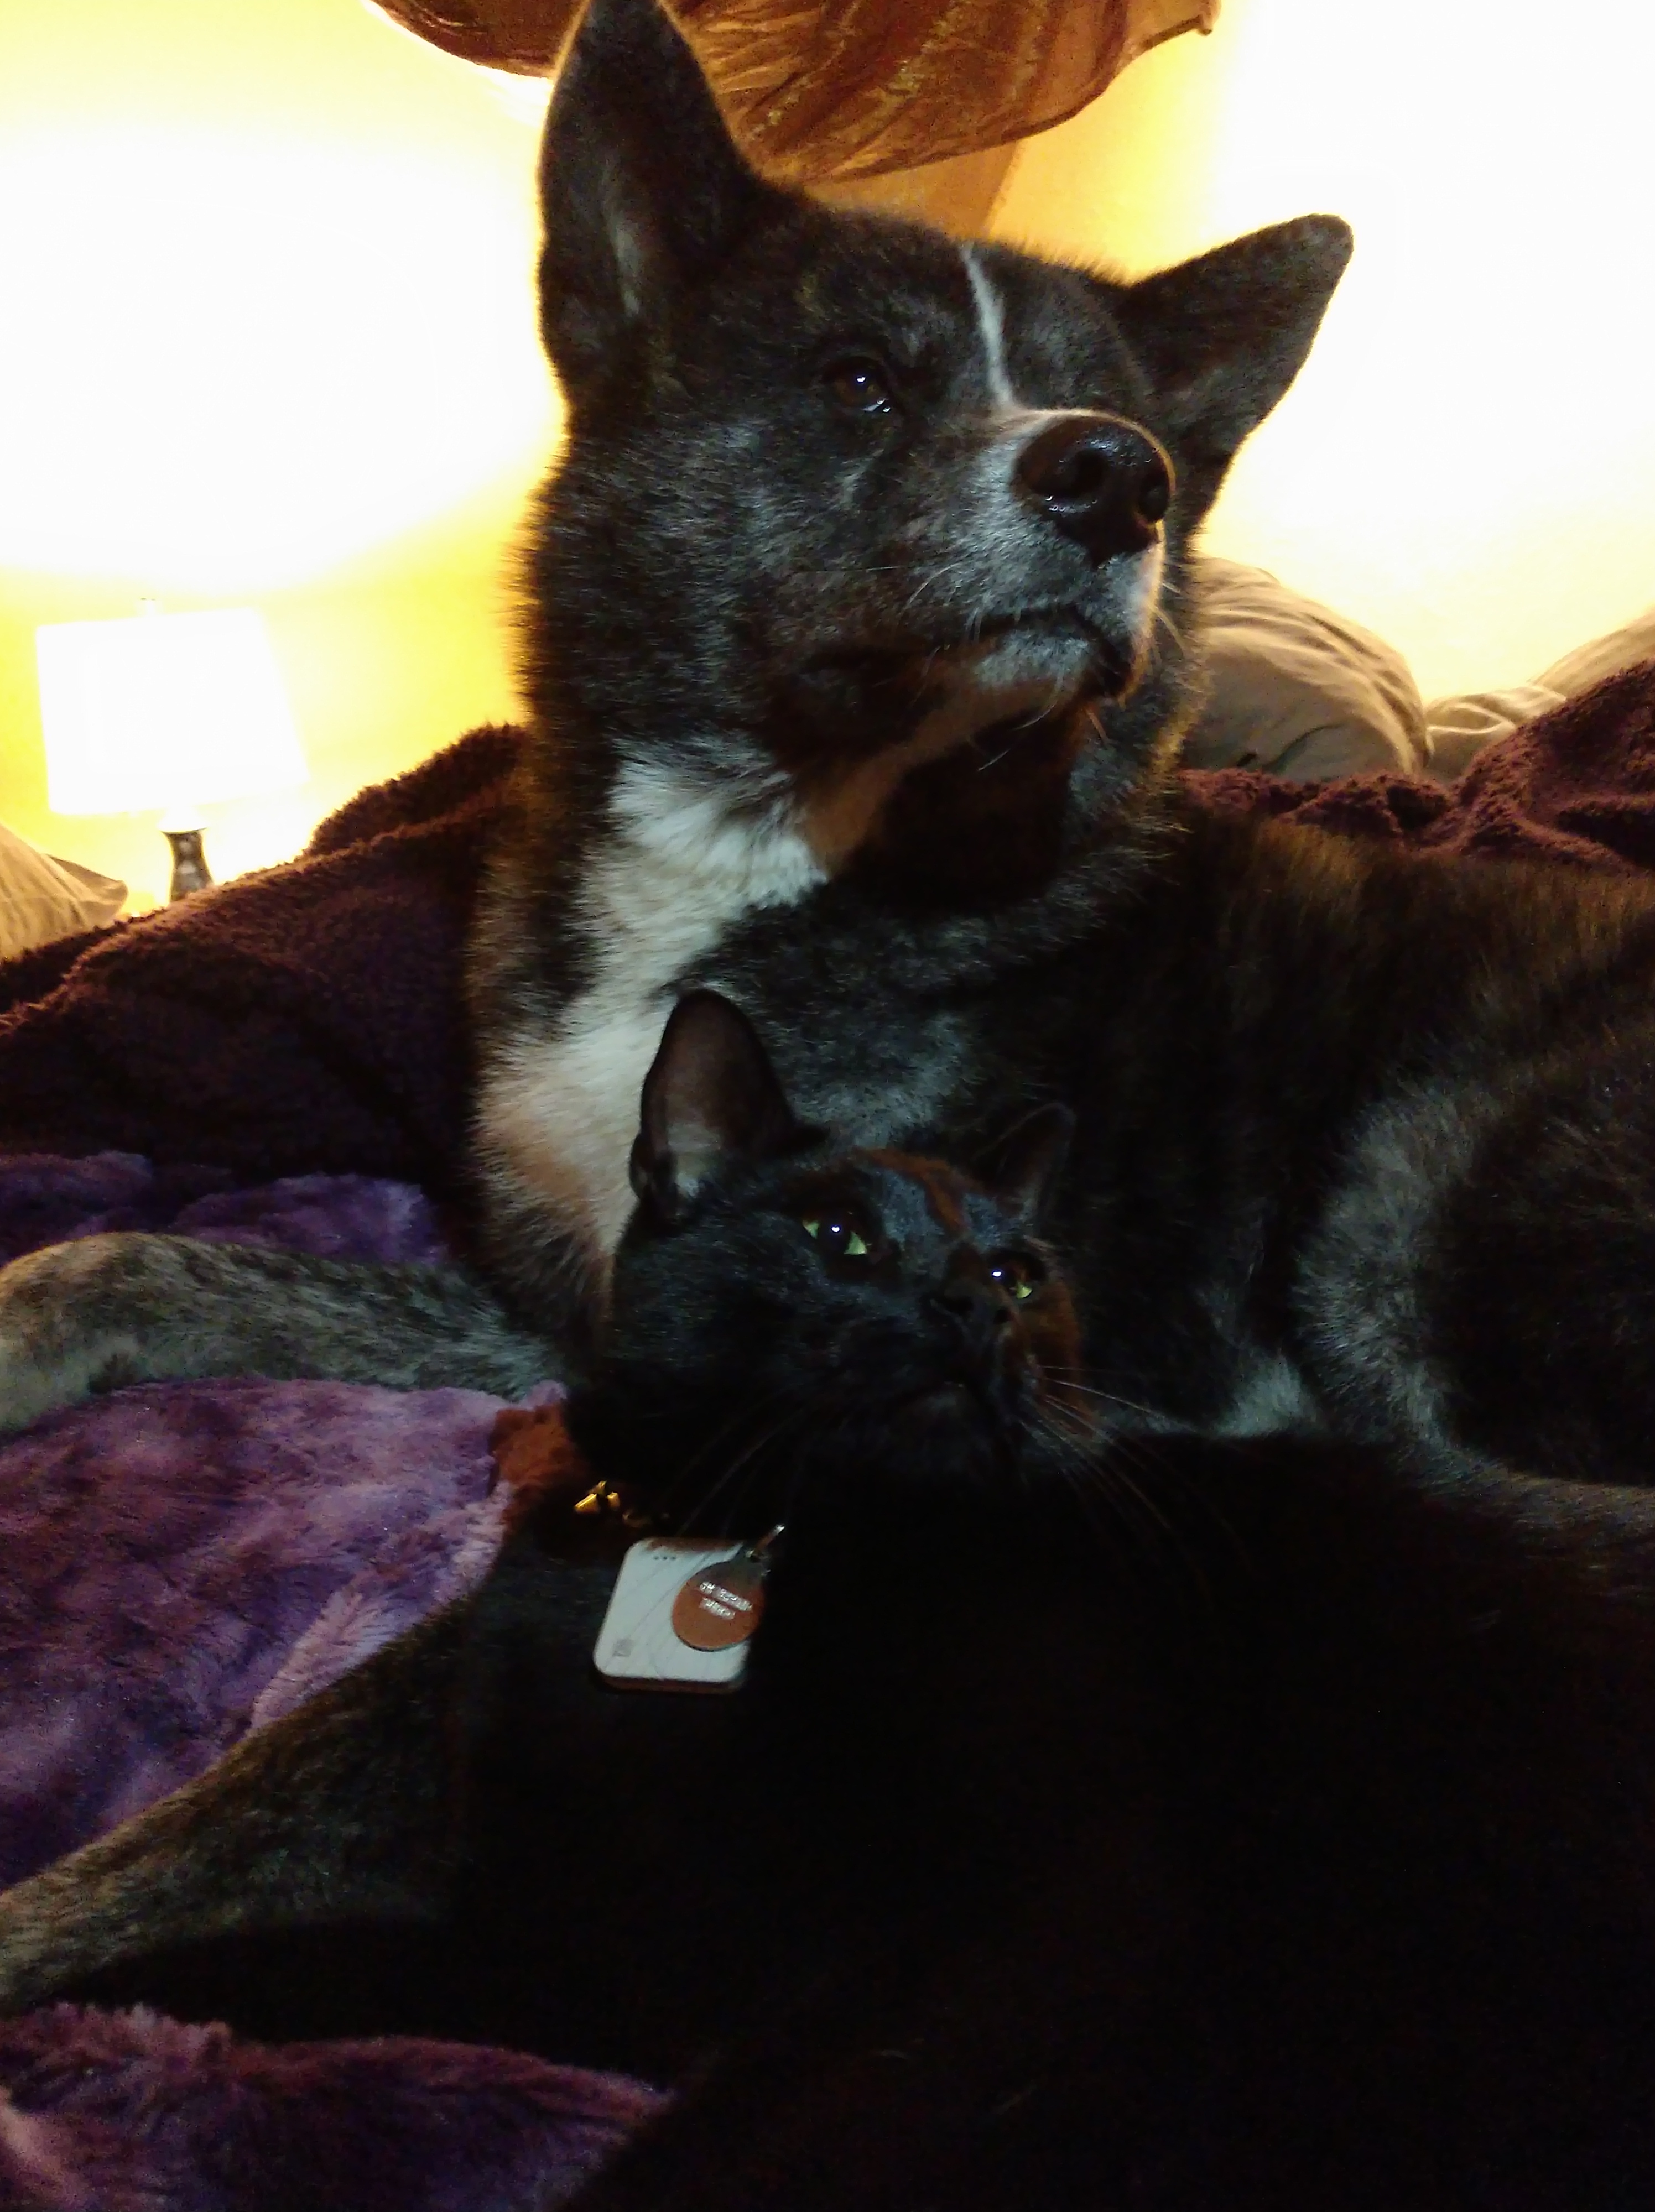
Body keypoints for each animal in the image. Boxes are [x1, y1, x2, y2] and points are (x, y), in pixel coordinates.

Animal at [6, 991, 1655, 2211]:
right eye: (840, 1238)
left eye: (1019, 1269)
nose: (975, 1307)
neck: (754, 1535)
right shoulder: (548, 1930)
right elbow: (193, 1970)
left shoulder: (1018, 1938)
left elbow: (737, 2156)